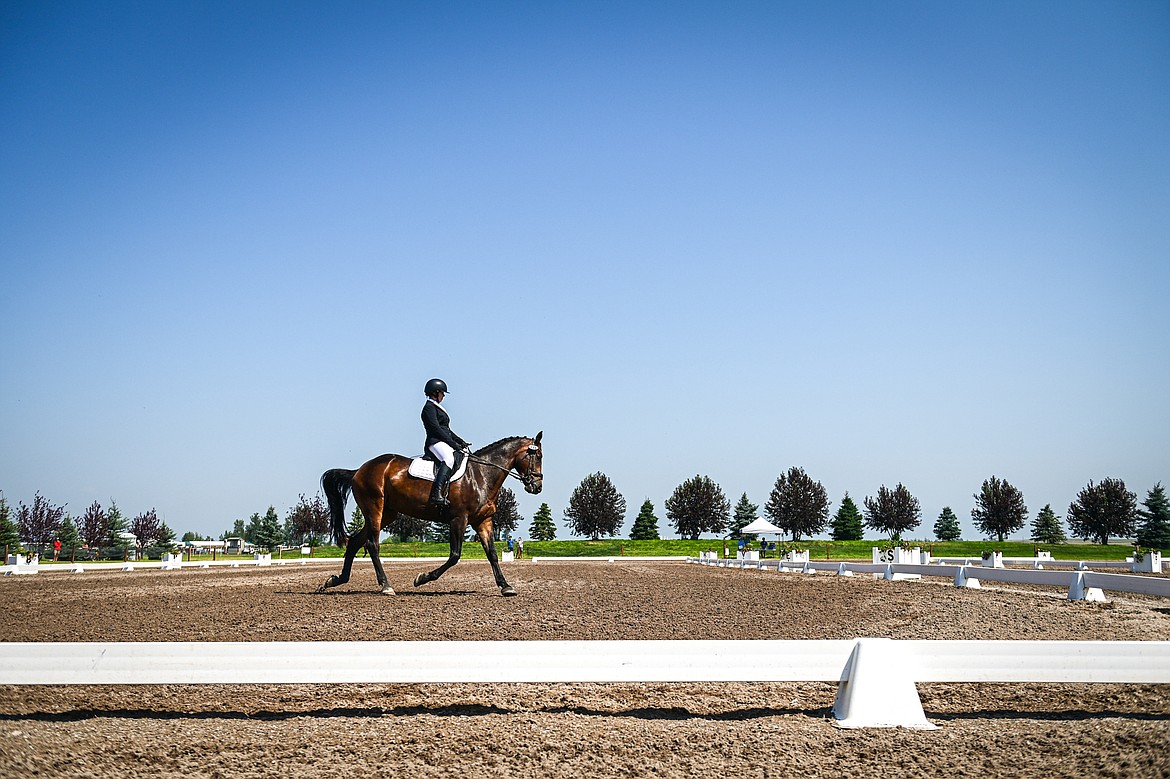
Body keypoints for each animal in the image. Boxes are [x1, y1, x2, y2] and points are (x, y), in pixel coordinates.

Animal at [318, 430, 540, 594]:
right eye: (537, 456)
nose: (537, 487)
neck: (481, 476)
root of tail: (358, 471)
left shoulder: (483, 521)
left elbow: (492, 554)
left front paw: (505, 586)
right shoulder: (459, 519)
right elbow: (454, 556)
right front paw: (422, 578)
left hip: (388, 513)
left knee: (355, 542)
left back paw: (335, 581)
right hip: (375, 508)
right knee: (372, 544)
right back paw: (386, 586)